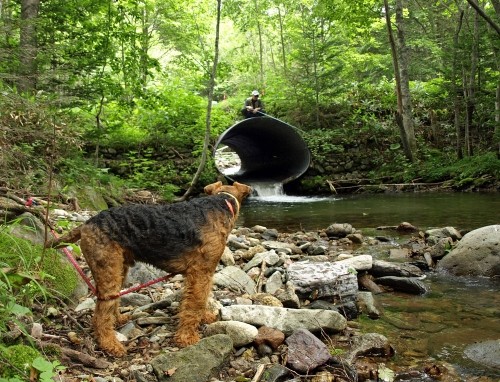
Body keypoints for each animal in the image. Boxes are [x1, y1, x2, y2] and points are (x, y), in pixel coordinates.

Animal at [46, 181, 250, 356]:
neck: (221, 204)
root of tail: (86, 224)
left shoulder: (201, 273)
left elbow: (199, 300)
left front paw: (205, 317)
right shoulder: (201, 271)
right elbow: (195, 304)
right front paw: (187, 338)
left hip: (118, 269)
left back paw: (118, 320)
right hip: (109, 269)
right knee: (100, 315)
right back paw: (110, 345)